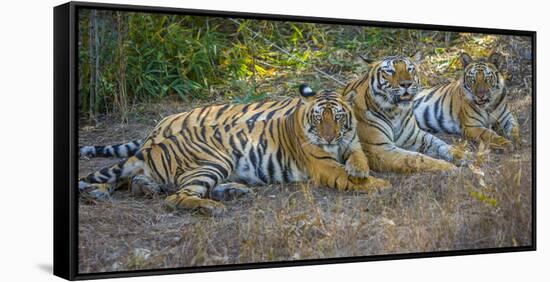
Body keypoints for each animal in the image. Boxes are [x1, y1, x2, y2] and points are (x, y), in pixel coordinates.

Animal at [78, 85, 392, 215]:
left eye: (337, 117)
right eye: (318, 119)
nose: (329, 137)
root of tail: (158, 138)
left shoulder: (351, 143)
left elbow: (358, 158)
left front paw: (360, 169)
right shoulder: (323, 165)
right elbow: (348, 177)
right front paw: (378, 184)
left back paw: (233, 191)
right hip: (213, 162)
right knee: (175, 197)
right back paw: (213, 207)